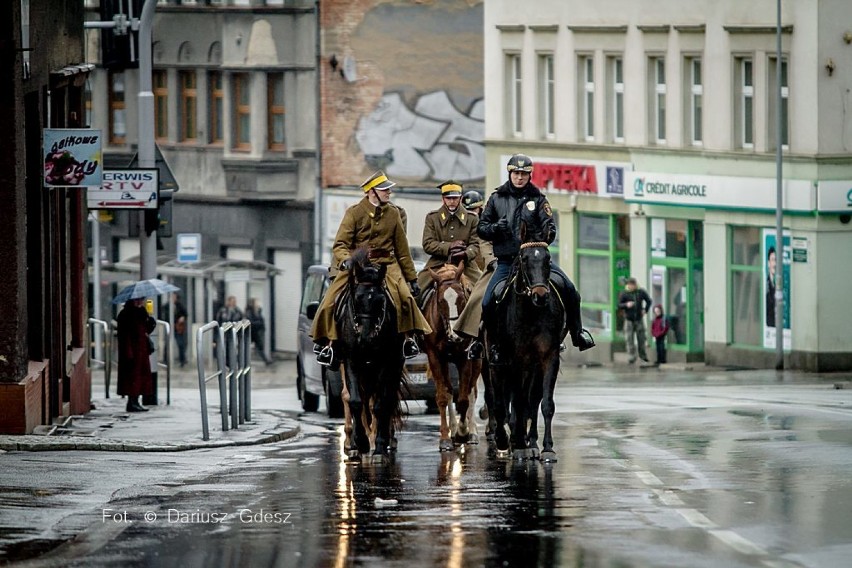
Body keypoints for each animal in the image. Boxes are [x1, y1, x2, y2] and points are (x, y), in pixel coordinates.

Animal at [336, 247, 406, 462]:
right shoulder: (350, 360)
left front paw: (379, 447)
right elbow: (354, 400)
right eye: (356, 298)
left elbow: (380, 404)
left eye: (381, 300)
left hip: (394, 365)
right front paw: (360, 443)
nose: (366, 339)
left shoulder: (385, 362)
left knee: (387, 398)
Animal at [422, 260, 482, 450]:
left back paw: (471, 432)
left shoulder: (465, 358)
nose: (456, 334)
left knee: (471, 391)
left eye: (461, 298)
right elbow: (443, 396)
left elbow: (463, 399)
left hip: (477, 359)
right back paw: (453, 430)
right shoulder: (435, 357)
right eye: (441, 301)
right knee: (449, 391)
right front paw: (445, 438)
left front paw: (463, 433)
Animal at [486, 221, 564, 462]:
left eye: (548, 259)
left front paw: (547, 448)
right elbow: (516, 403)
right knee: (499, 402)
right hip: (495, 362)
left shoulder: (548, 357)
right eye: (524, 259)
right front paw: (518, 444)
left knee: (531, 400)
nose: (541, 295)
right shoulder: (514, 361)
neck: (531, 312)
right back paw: (505, 440)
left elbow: (544, 403)